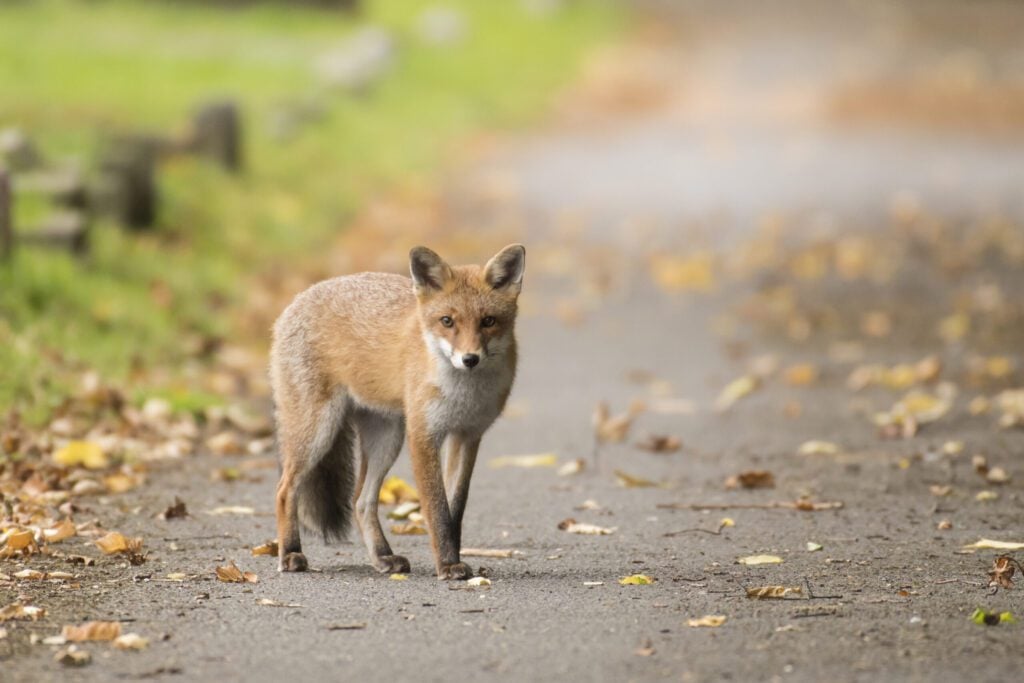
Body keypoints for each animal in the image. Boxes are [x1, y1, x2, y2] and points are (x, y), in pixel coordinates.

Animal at [270, 244, 525, 580]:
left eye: (488, 321)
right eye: (447, 321)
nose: (469, 359)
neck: (463, 394)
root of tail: (297, 299)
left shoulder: (467, 435)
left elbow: (455, 510)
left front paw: (452, 558)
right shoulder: (423, 434)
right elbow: (436, 510)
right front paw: (447, 564)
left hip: (386, 439)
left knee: (360, 501)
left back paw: (382, 557)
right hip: (318, 432)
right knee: (285, 490)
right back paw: (290, 553)